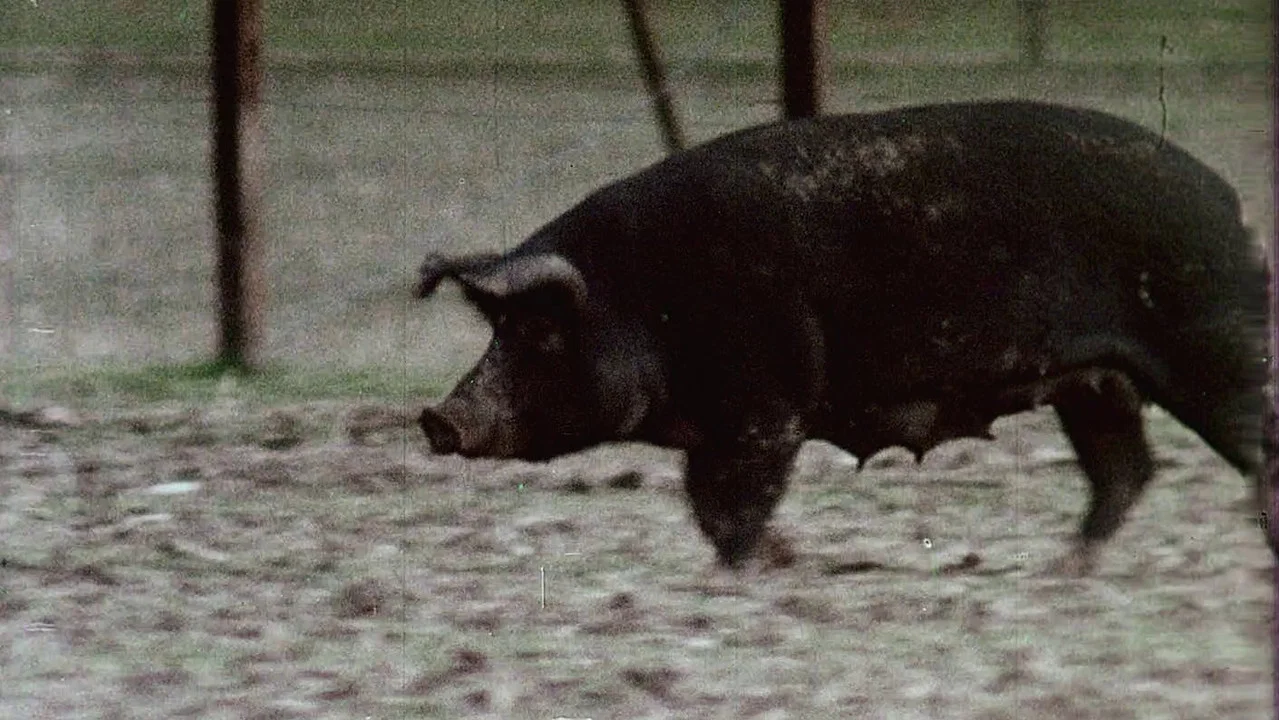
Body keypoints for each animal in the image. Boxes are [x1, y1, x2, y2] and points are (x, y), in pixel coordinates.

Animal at [416, 100, 1272, 574]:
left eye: (541, 332)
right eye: (497, 328)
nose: (437, 418)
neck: (644, 295)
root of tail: (1230, 203)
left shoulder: (765, 407)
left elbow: (732, 506)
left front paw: (753, 572)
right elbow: (703, 505)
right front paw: (786, 563)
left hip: (1210, 348)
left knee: (1245, 443)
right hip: (1093, 383)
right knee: (1125, 469)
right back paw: (1061, 570)